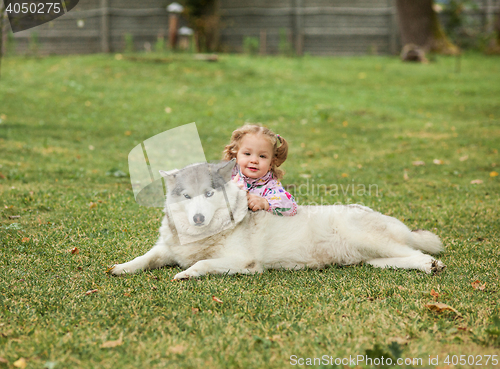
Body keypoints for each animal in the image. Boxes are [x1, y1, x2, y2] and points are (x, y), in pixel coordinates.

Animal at [110, 159, 446, 278]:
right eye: (187, 196)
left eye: (208, 194)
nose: (198, 218)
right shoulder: (166, 250)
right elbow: (145, 258)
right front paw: (122, 268)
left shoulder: (244, 264)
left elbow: (202, 263)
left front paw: (186, 274)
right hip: (372, 258)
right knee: (402, 258)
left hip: (371, 240)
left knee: (418, 253)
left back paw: (432, 265)